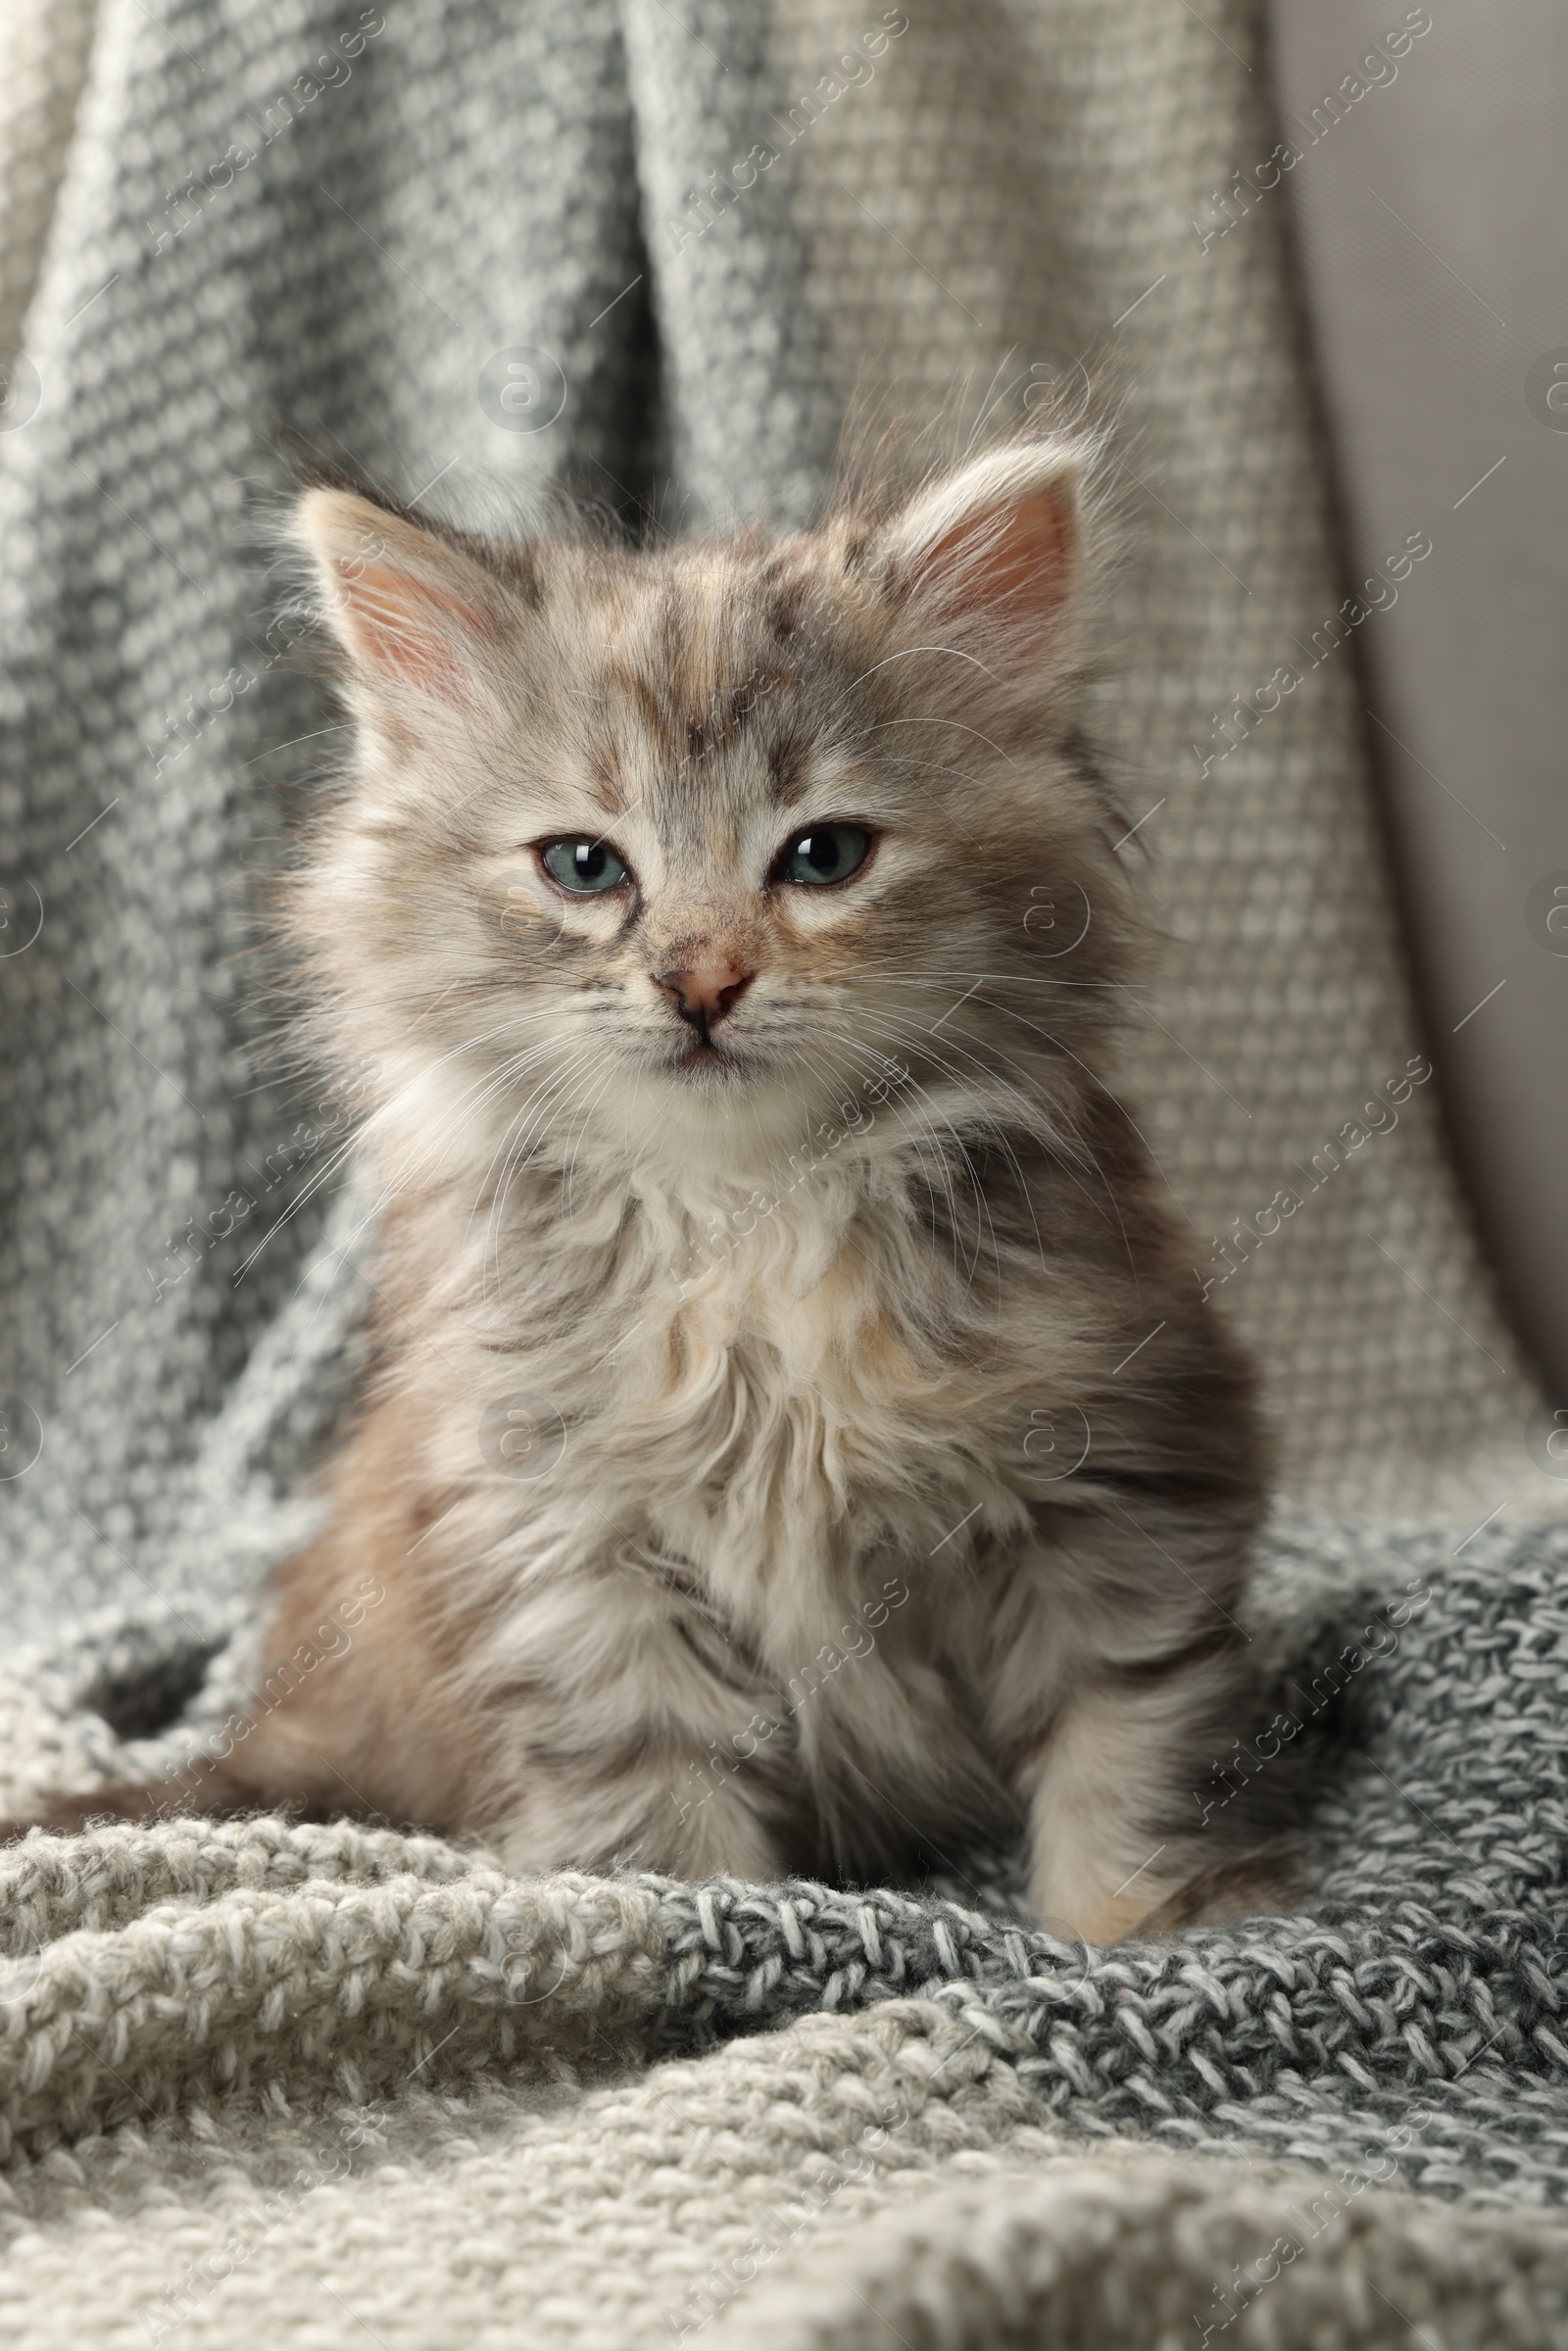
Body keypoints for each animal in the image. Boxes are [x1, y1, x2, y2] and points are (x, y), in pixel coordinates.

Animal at [9, 432, 1288, 1936]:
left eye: (823, 855)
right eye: (583, 865)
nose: (700, 979)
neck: (748, 1212)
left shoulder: (1115, 1476)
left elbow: (1126, 1735)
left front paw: (1139, 1927)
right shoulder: (565, 1542)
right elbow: (659, 1792)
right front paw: (701, 1937)